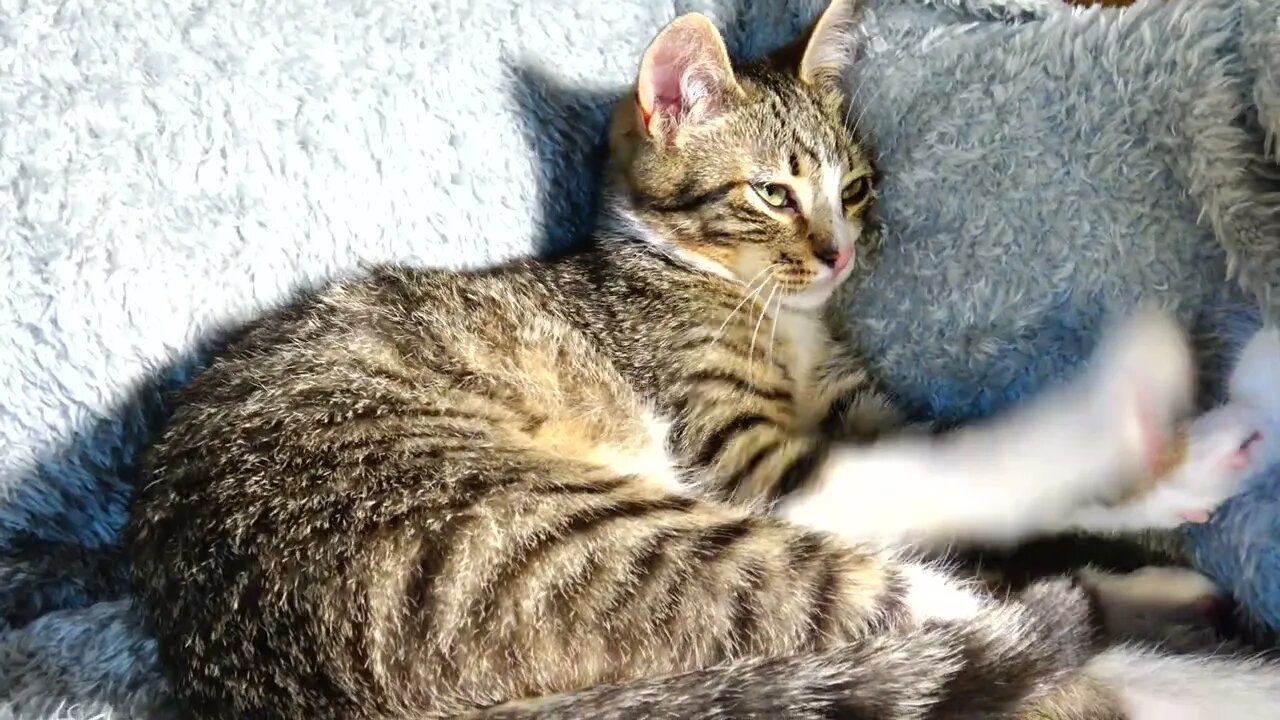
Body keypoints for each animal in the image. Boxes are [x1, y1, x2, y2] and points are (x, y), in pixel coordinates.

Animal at [127, 2, 1280, 712]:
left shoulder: (854, 407)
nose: (839, 252)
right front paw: (1122, 425)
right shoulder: (747, 456)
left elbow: (954, 459)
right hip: (566, 537)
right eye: (771, 193)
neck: (768, 308)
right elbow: (959, 462)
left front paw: (1163, 474)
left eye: (853, 188)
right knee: (1004, 649)